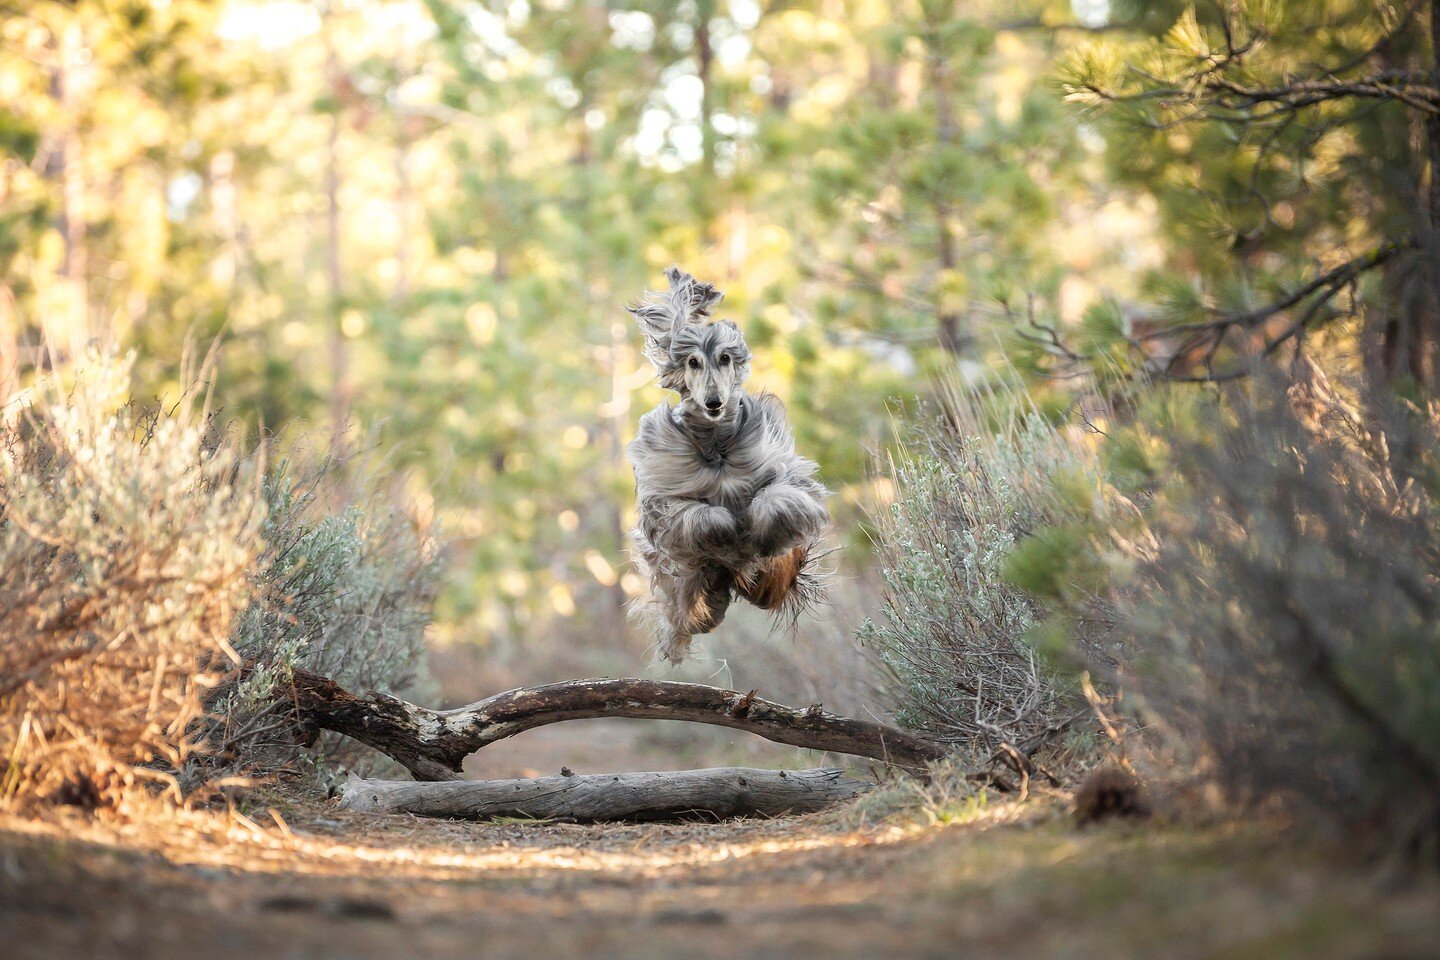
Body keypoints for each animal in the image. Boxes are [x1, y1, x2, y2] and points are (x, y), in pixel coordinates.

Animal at [622, 266, 835, 664]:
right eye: (693, 362)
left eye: (724, 358)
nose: (714, 402)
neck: (718, 449)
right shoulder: (664, 497)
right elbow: (700, 516)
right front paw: (727, 533)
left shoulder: (782, 470)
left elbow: (776, 498)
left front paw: (756, 533)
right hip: (690, 594)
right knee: (695, 611)